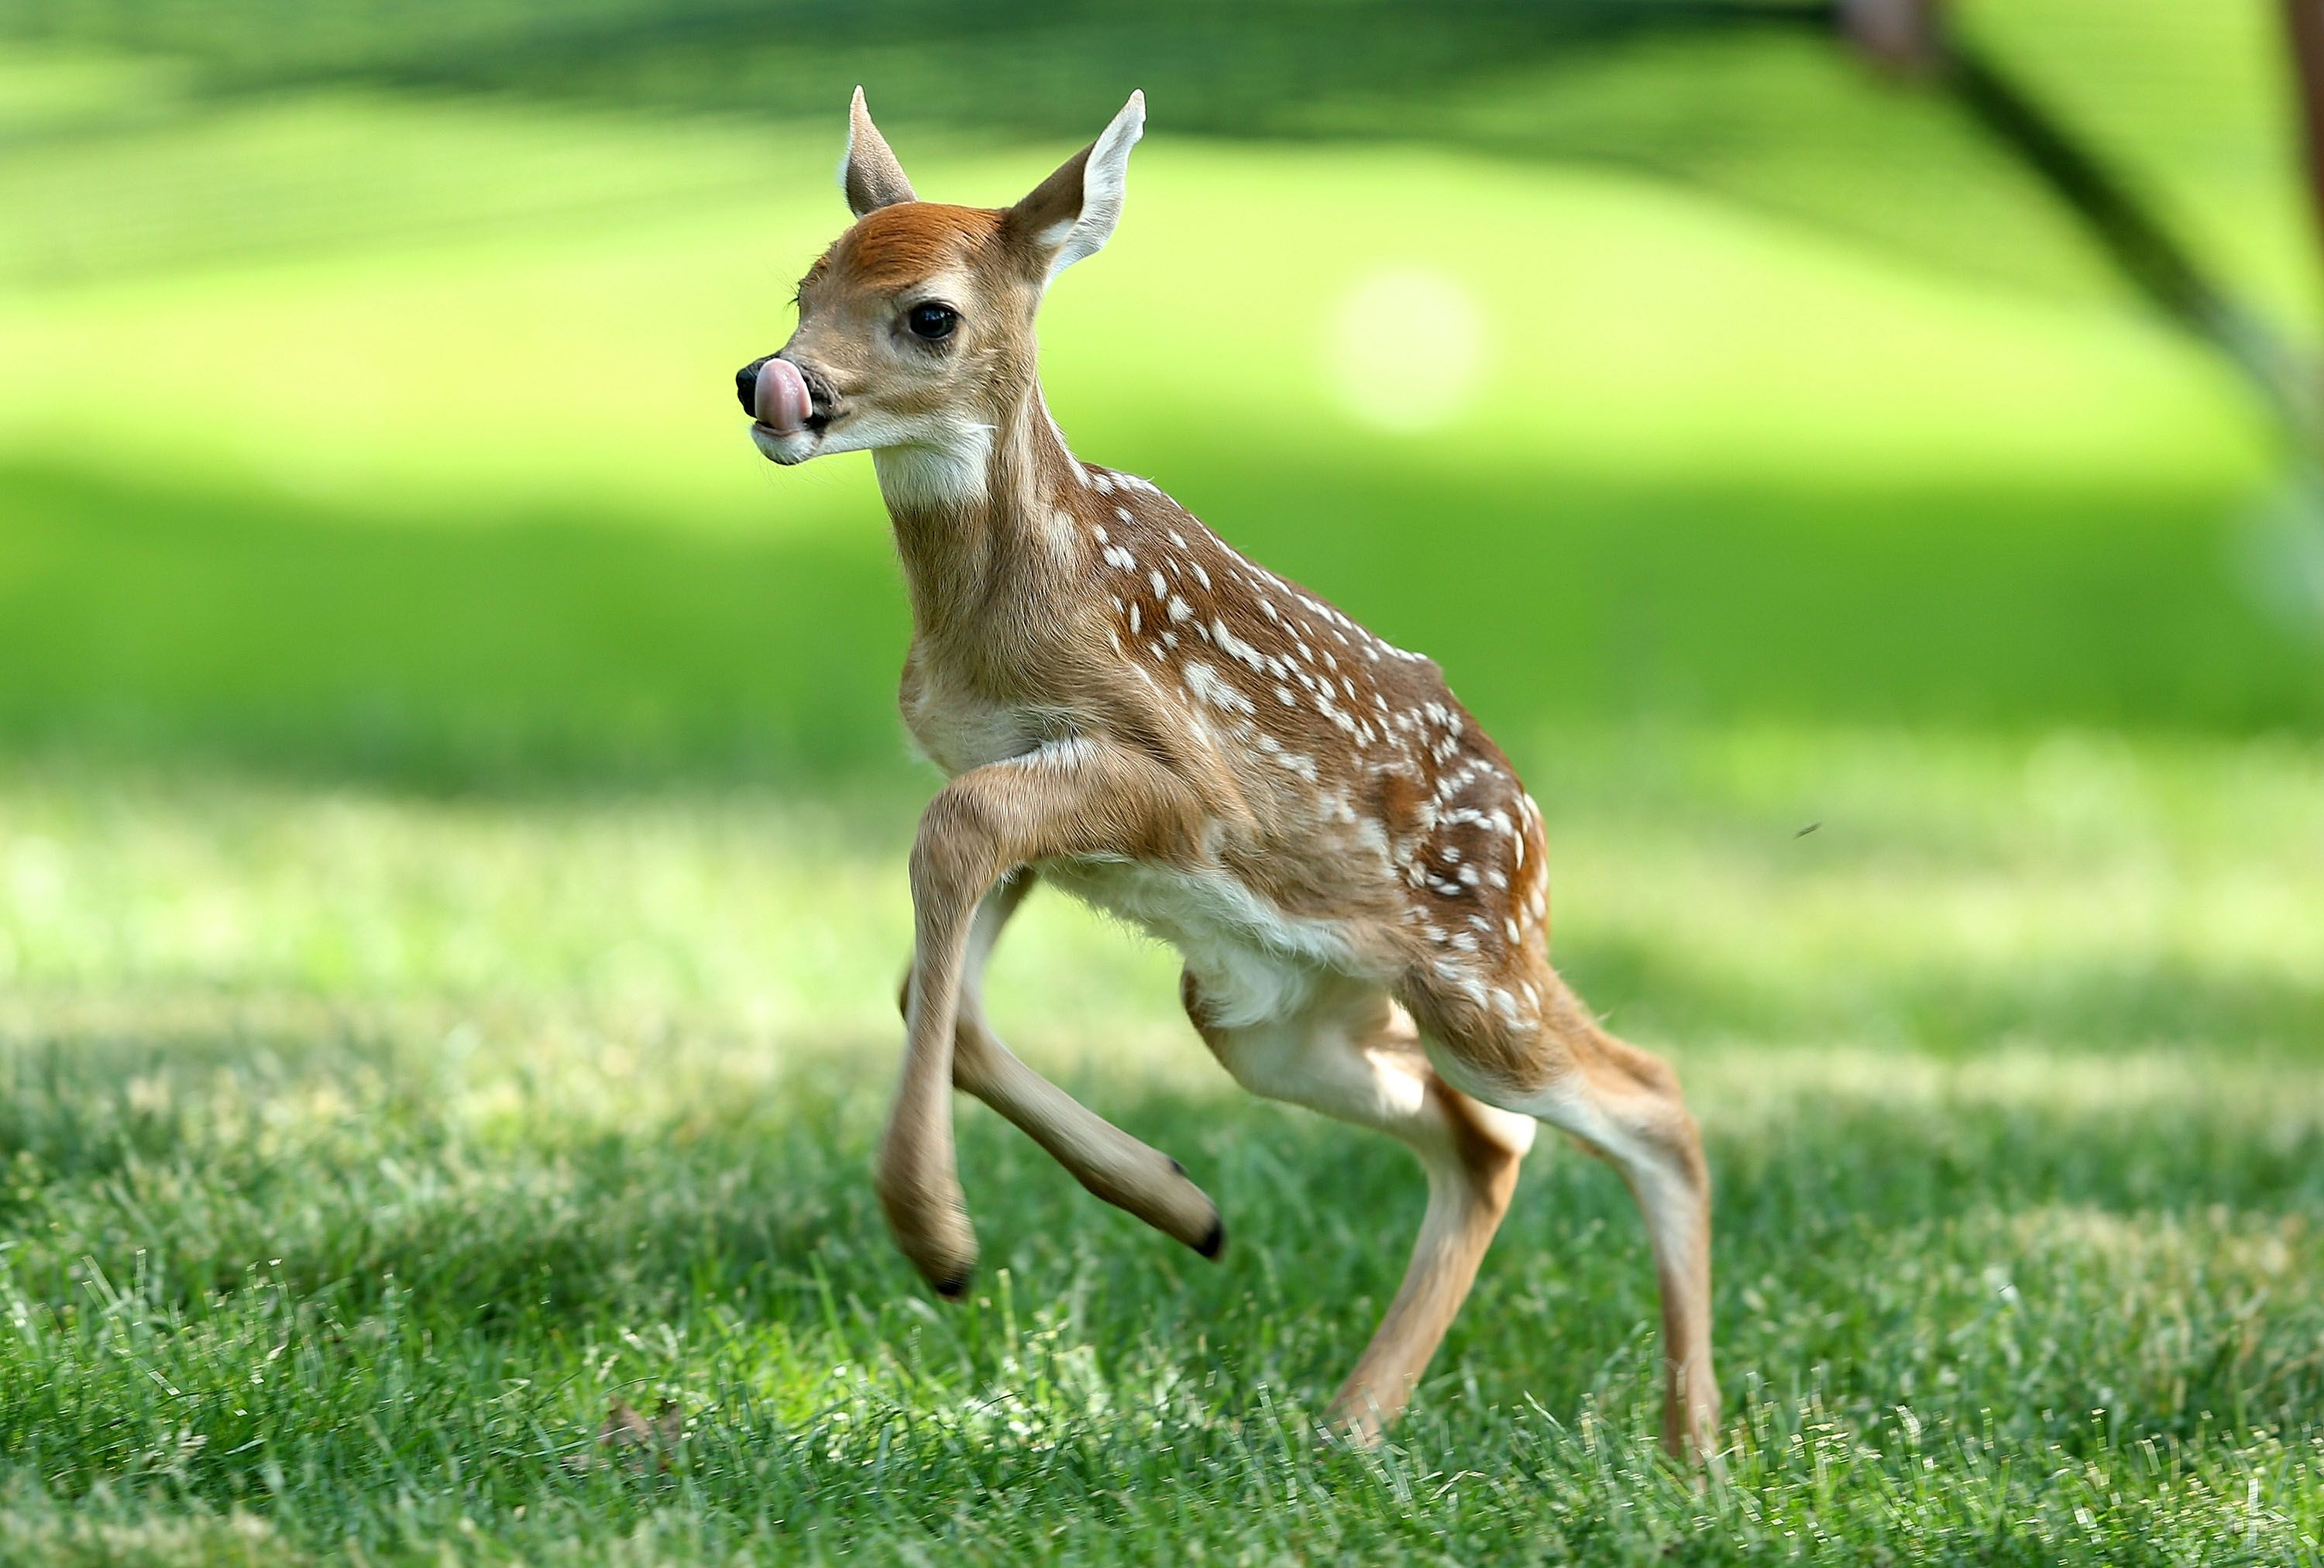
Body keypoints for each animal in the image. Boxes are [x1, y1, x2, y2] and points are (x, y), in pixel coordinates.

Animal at [734, 85, 1720, 1459]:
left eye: (929, 313)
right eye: (805, 289)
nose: (773, 384)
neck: (1003, 612)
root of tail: (1530, 826)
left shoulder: (1179, 782)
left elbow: (950, 840)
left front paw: (936, 1238)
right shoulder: (1033, 786)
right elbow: (940, 983)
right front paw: (1176, 1203)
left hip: (1477, 973)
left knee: (1647, 1099)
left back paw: (1694, 1448)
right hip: (1272, 1014)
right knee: (1486, 1141)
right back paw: (1352, 1421)